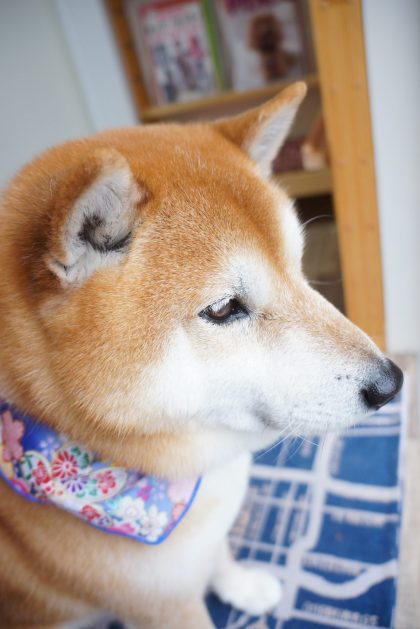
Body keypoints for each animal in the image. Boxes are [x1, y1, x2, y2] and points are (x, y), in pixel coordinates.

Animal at [0, 82, 403, 628]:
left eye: (298, 267)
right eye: (224, 308)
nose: (392, 383)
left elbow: (219, 554)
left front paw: (241, 586)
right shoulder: (163, 604)